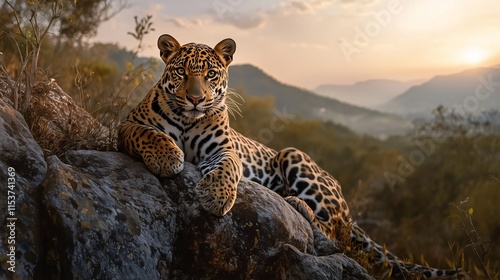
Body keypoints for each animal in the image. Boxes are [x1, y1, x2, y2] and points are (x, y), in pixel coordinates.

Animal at [117, 34, 460, 278]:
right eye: (181, 71)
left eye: (211, 74)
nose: (196, 99)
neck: (189, 120)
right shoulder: (127, 126)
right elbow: (148, 134)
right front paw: (167, 157)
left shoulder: (224, 149)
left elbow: (227, 168)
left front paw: (216, 196)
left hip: (295, 155)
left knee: (336, 234)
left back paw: (296, 203)